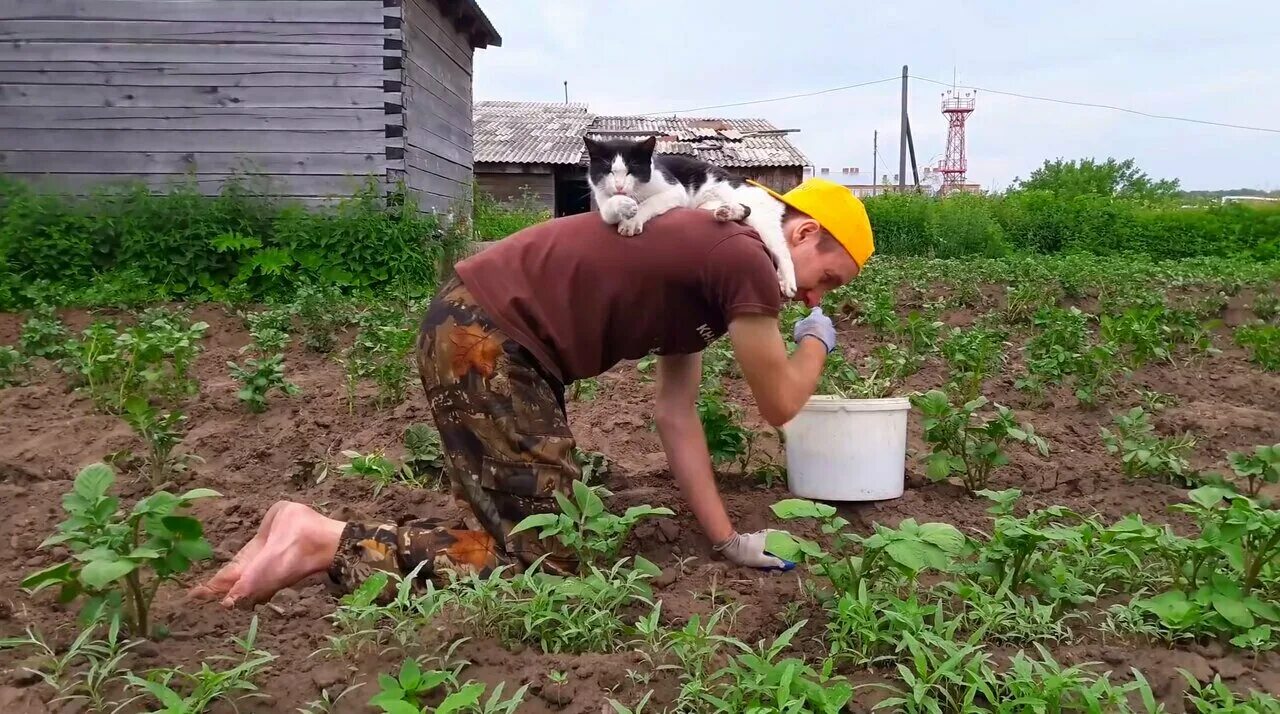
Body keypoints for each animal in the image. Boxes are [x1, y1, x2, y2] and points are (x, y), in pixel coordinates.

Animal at [586, 135, 793, 298]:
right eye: (608, 170)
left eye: (632, 169)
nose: (619, 186)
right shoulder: (600, 195)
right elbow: (607, 213)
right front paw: (623, 205)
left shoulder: (676, 190)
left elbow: (651, 202)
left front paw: (631, 221)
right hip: (706, 206)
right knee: (739, 211)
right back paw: (728, 212)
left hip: (761, 216)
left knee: (780, 248)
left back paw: (788, 281)